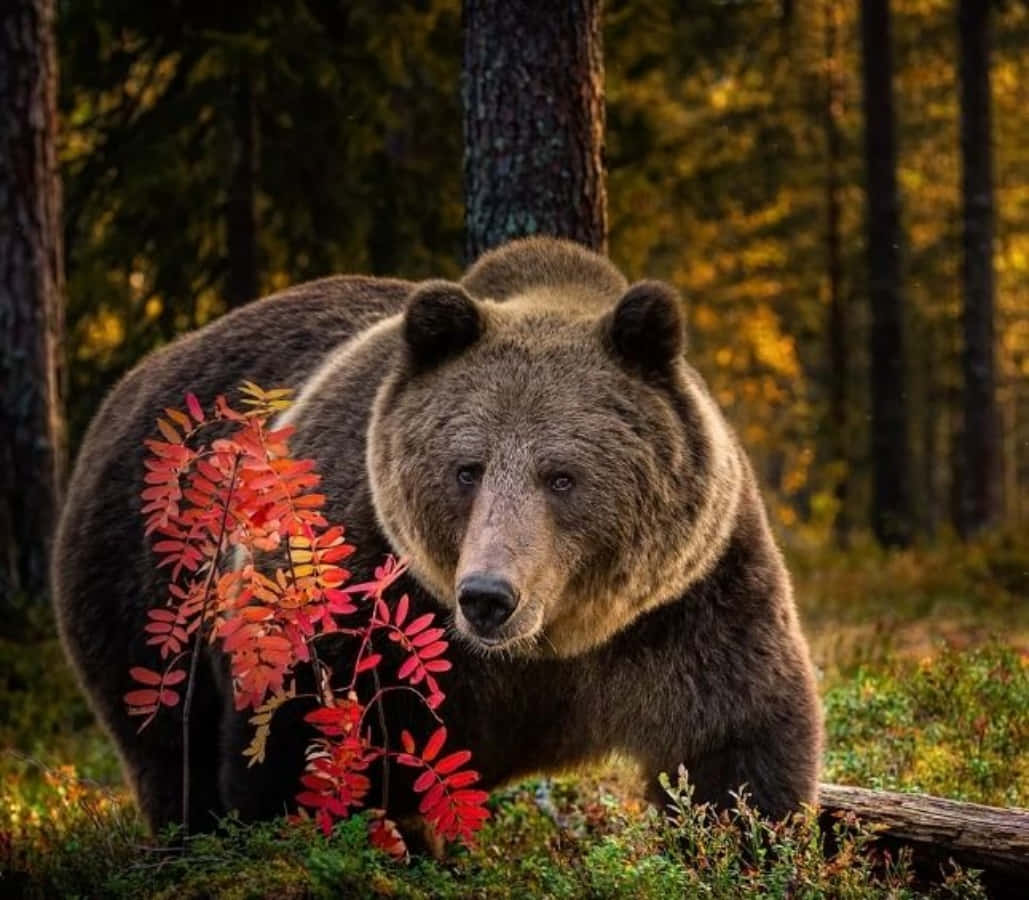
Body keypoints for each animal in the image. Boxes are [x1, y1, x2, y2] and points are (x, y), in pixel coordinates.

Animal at [53, 237, 823, 835]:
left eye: (561, 476)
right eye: (466, 468)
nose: (488, 595)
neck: (546, 648)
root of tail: (138, 378)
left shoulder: (689, 601)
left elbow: (738, 747)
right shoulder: (352, 593)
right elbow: (295, 754)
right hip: (147, 586)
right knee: (165, 753)